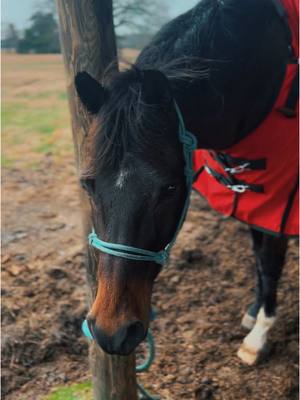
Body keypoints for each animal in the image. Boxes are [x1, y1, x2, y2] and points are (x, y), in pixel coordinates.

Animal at [74, 0, 298, 364]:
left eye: (169, 188)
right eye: (88, 185)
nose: (112, 331)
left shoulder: (280, 205)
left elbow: (270, 262)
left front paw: (258, 337)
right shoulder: (256, 202)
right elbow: (257, 256)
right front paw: (253, 312)